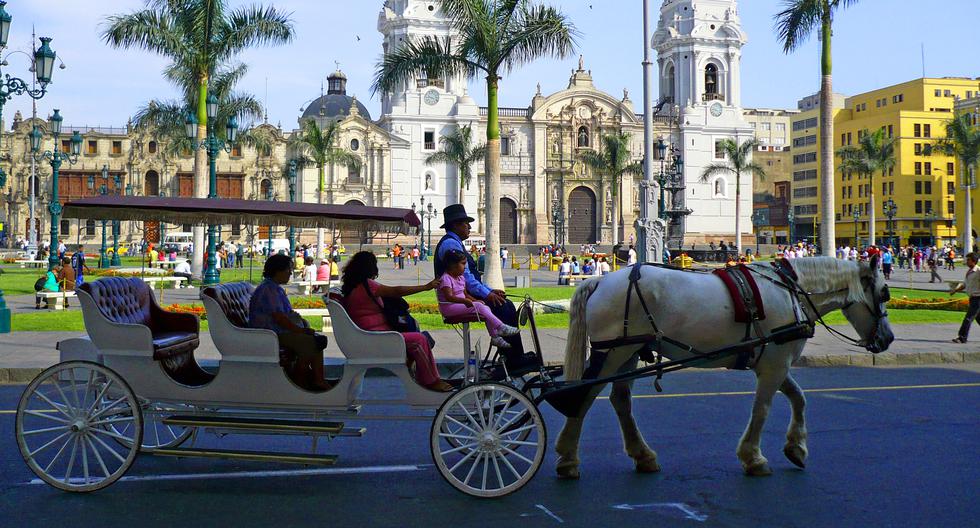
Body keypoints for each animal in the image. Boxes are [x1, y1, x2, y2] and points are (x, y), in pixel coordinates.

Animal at [556, 256, 892, 478]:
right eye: (883, 293)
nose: (887, 338)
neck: (792, 292)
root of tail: (600, 279)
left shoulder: (774, 361)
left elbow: (799, 398)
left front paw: (796, 448)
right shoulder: (774, 366)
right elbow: (762, 409)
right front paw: (753, 458)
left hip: (629, 352)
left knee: (620, 400)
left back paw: (643, 455)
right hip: (613, 352)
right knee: (584, 396)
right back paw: (568, 459)